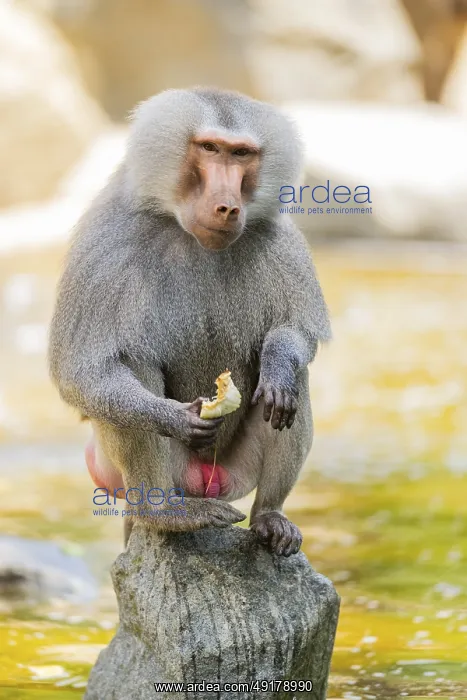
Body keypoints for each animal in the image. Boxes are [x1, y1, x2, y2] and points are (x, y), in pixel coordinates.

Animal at [48, 87, 331, 558]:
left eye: (241, 154)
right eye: (210, 148)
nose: (228, 207)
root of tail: (204, 483)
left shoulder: (280, 239)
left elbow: (297, 334)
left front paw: (277, 367)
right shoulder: (106, 241)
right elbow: (84, 373)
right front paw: (175, 418)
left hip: (236, 472)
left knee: (296, 384)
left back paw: (269, 517)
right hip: (145, 474)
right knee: (129, 366)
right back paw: (166, 514)